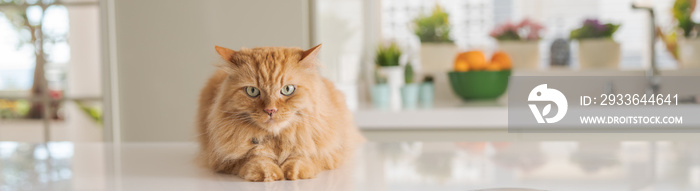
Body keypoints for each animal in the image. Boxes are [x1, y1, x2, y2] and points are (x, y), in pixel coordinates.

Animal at [196, 44, 364, 181]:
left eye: (287, 89)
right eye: (252, 91)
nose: (270, 110)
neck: (277, 141)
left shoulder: (331, 152)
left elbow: (303, 157)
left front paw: (294, 172)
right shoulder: (223, 159)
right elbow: (256, 158)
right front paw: (269, 173)